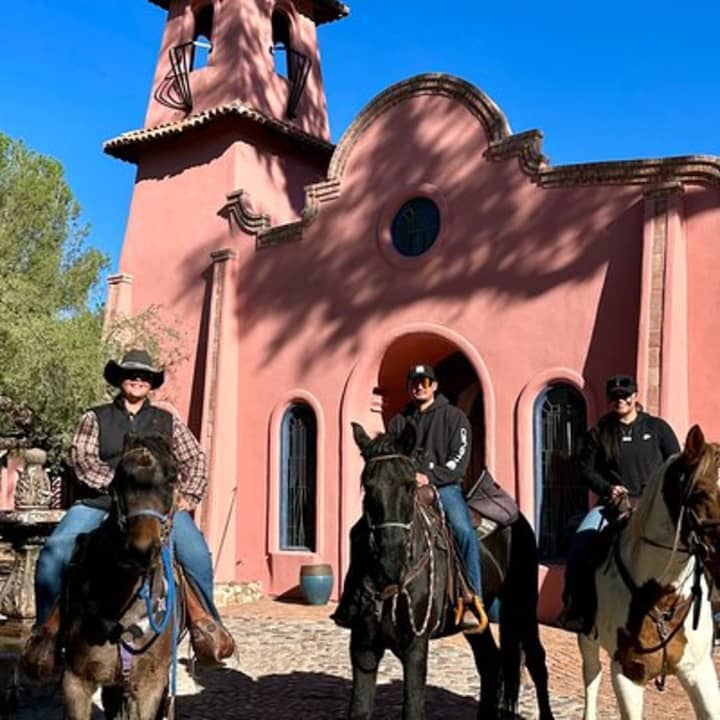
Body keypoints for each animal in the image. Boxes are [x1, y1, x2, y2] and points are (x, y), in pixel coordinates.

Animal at [348, 422, 552, 720]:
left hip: (522, 603)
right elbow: (359, 710)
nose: (391, 561)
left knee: (536, 661)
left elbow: (413, 709)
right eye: (367, 486)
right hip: (479, 619)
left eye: (410, 486)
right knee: (490, 662)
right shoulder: (363, 648)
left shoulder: (415, 647)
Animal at [584, 424, 720, 716]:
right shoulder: (627, 675)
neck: (662, 596)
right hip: (586, 637)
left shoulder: (699, 670)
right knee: (591, 674)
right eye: (701, 493)